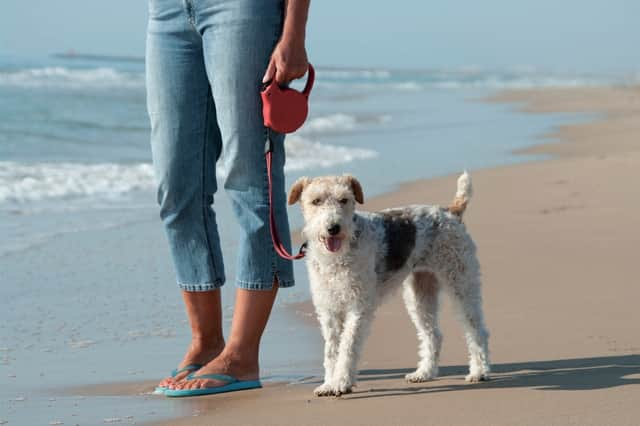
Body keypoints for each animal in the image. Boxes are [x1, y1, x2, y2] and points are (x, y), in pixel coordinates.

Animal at [290, 172, 490, 396]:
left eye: (344, 199)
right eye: (316, 201)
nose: (333, 228)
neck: (336, 257)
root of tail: (450, 211)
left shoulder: (358, 308)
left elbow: (347, 348)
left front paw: (341, 382)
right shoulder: (329, 310)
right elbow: (331, 351)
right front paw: (328, 384)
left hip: (461, 282)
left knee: (476, 330)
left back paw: (479, 372)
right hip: (420, 293)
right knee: (433, 335)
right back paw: (424, 373)